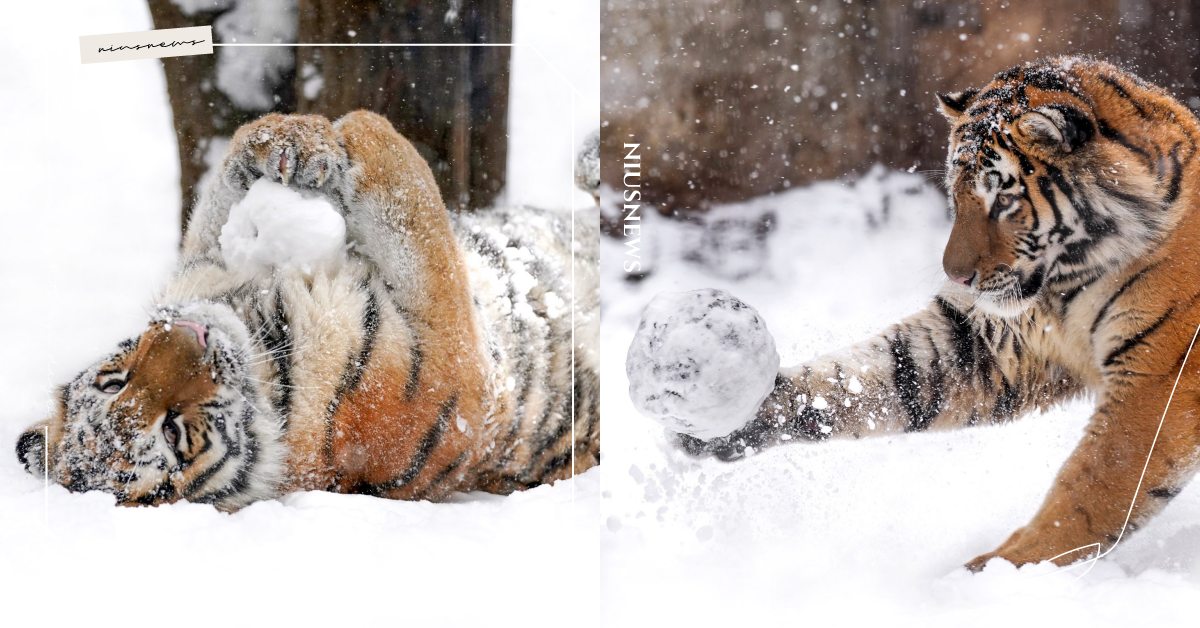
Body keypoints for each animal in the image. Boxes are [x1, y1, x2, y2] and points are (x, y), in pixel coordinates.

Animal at [14, 110, 599, 511]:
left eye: (115, 382)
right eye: (173, 434)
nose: (193, 334)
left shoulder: (204, 269)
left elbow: (217, 199)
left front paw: (287, 138)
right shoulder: (458, 373)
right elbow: (412, 203)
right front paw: (356, 130)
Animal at [674, 56, 1200, 570]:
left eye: (1003, 198)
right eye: (956, 194)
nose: (956, 275)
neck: (1066, 283)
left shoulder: (1156, 380)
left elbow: (1093, 486)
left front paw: (1000, 570)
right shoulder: (987, 341)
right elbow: (877, 375)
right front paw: (731, 418)